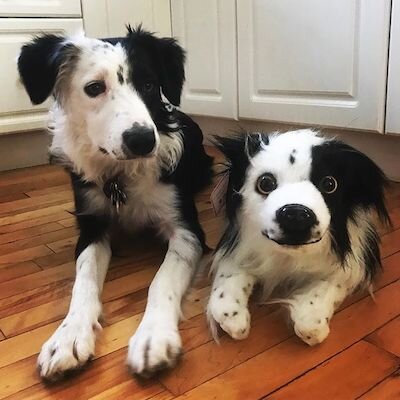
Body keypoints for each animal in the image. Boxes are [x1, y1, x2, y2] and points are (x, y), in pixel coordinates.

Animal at [16, 26, 212, 380]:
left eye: (148, 84)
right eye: (94, 88)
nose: (143, 140)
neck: (121, 175)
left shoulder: (187, 229)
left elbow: (162, 279)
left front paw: (153, 337)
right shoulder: (92, 226)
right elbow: (83, 281)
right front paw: (67, 337)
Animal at [208, 130, 390, 346]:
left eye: (330, 184)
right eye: (265, 183)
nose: (295, 214)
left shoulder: (354, 258)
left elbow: (317, 310)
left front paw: (311, 317)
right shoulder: (238, 243)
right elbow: (229, 276)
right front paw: (232, 315)